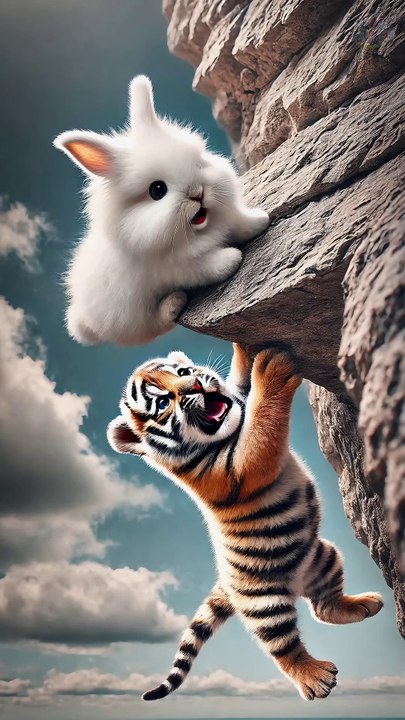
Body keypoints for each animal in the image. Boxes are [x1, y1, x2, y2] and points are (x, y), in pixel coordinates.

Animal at [53, 75, 269, 346]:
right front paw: (231, 258)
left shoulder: (228, 218)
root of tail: (82, 319)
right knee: (156, 325)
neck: (200, 231)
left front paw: (262, 220)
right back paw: (174, 303)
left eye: (198, 161)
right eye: (157, 190)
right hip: (133, 316)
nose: (198, 192)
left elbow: (241, 223)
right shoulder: (176, 268)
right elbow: (207, 267)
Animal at [107, 343, 383, 702]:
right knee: (283, 645)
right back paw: (315, 678)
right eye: (163, 403)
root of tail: (225, 583)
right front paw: (271, 369)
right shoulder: (238, 470)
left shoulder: (237, 401)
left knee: (324, 607)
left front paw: (246, 351)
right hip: (264, 602)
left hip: (324, 557)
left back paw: (365, 605)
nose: (195, 385)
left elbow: (239, 380)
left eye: (183, 373)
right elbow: (261, 429)